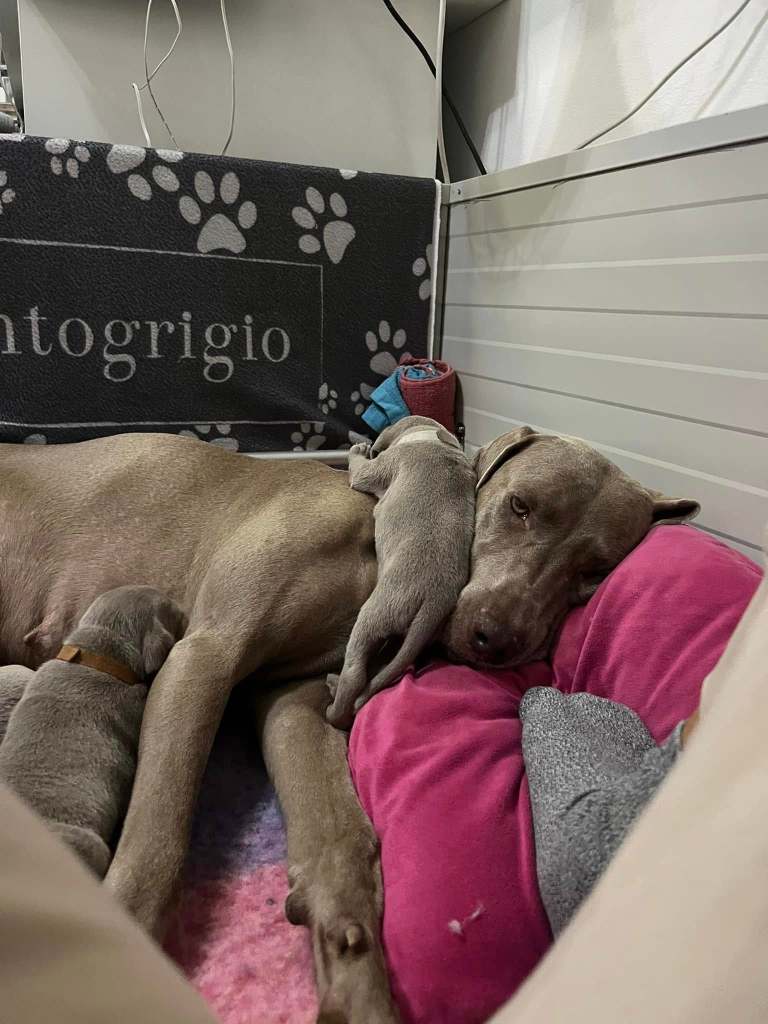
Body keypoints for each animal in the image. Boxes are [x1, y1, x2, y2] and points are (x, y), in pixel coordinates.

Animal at [326, 416, 476, 729]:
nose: (368, 443)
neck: (433, 437)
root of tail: (437, 597)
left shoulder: (381, 465)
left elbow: (362, 471)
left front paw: (359, 449)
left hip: (376, 611)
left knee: (355, 673)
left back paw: (335, 699)